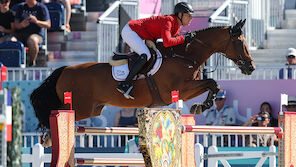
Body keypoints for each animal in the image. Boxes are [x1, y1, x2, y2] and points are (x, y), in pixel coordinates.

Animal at [30, 18, 254, 133]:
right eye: (239, 42)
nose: (250, 67)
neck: (185, 55)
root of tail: (64, 70)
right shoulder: (179, 90)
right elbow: (211, 82)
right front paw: (201, 106)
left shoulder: (185, 89)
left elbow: (213, 84)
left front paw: (201, 106)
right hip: (78, 106)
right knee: (55, 114)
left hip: (91, 109)